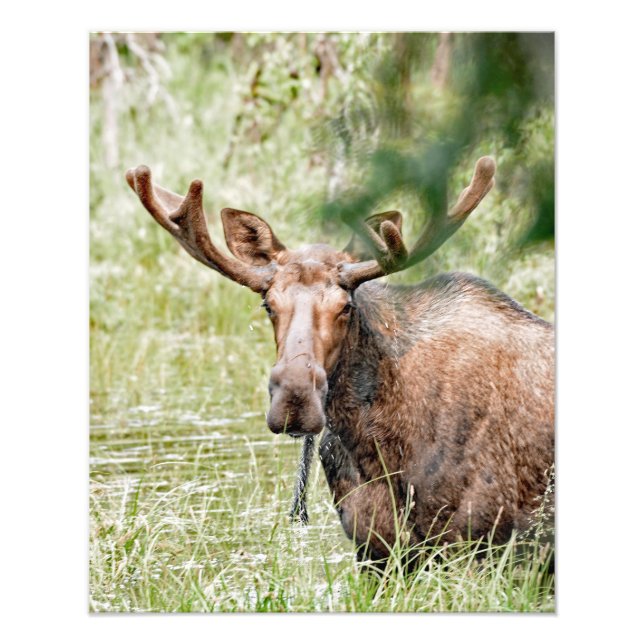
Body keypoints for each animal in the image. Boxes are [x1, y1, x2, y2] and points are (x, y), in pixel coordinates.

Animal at [125, 157, 554, 566]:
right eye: (268, 305)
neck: (377, 446)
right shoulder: (375, 547)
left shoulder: (484, 542)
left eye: (345, 306)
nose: (295, 399)